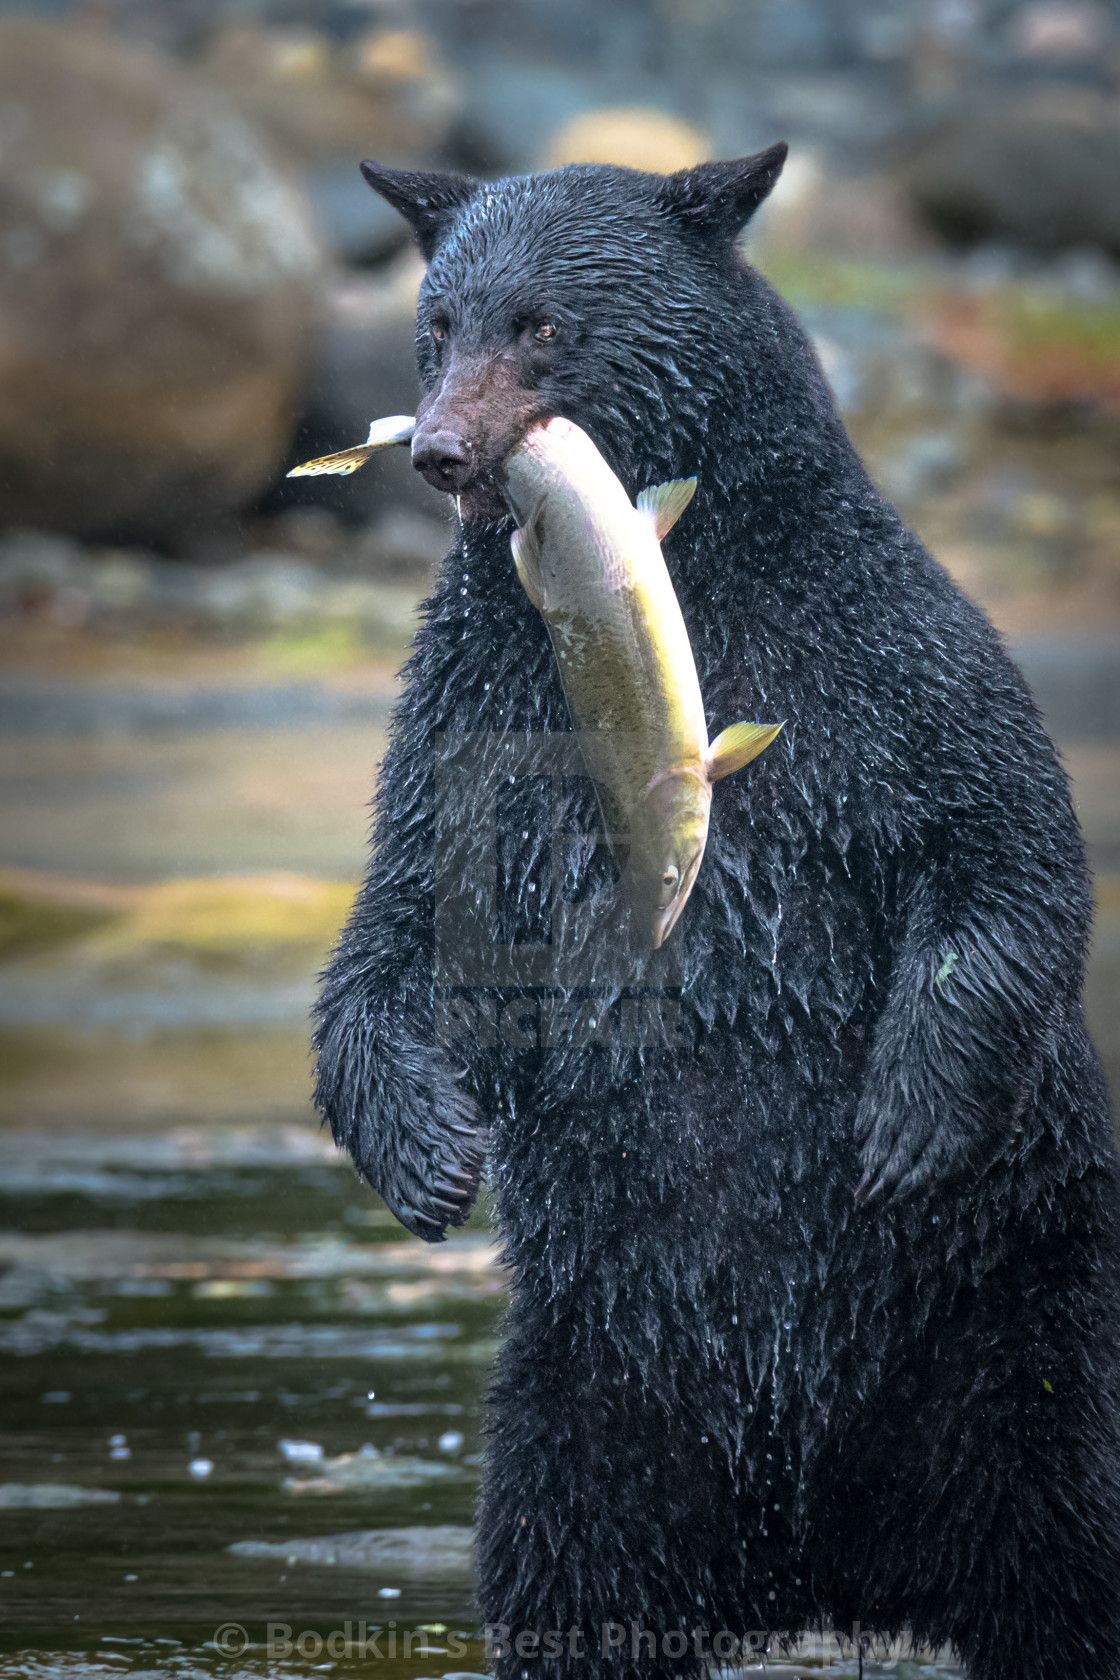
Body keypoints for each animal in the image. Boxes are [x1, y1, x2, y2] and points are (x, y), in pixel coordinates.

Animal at [314, 147, 1120, 1680]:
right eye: (435, 325)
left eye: (542, 321)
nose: (441, 451)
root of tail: (821, 1561)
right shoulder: (472, 714)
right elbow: (406, 932)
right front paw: (431, 1157)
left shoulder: (879, 658)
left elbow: (1003, 853)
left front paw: (903, 1121)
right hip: (592, 1404)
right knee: (567, 1576)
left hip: (1014, 1334)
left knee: (1063, 1543)